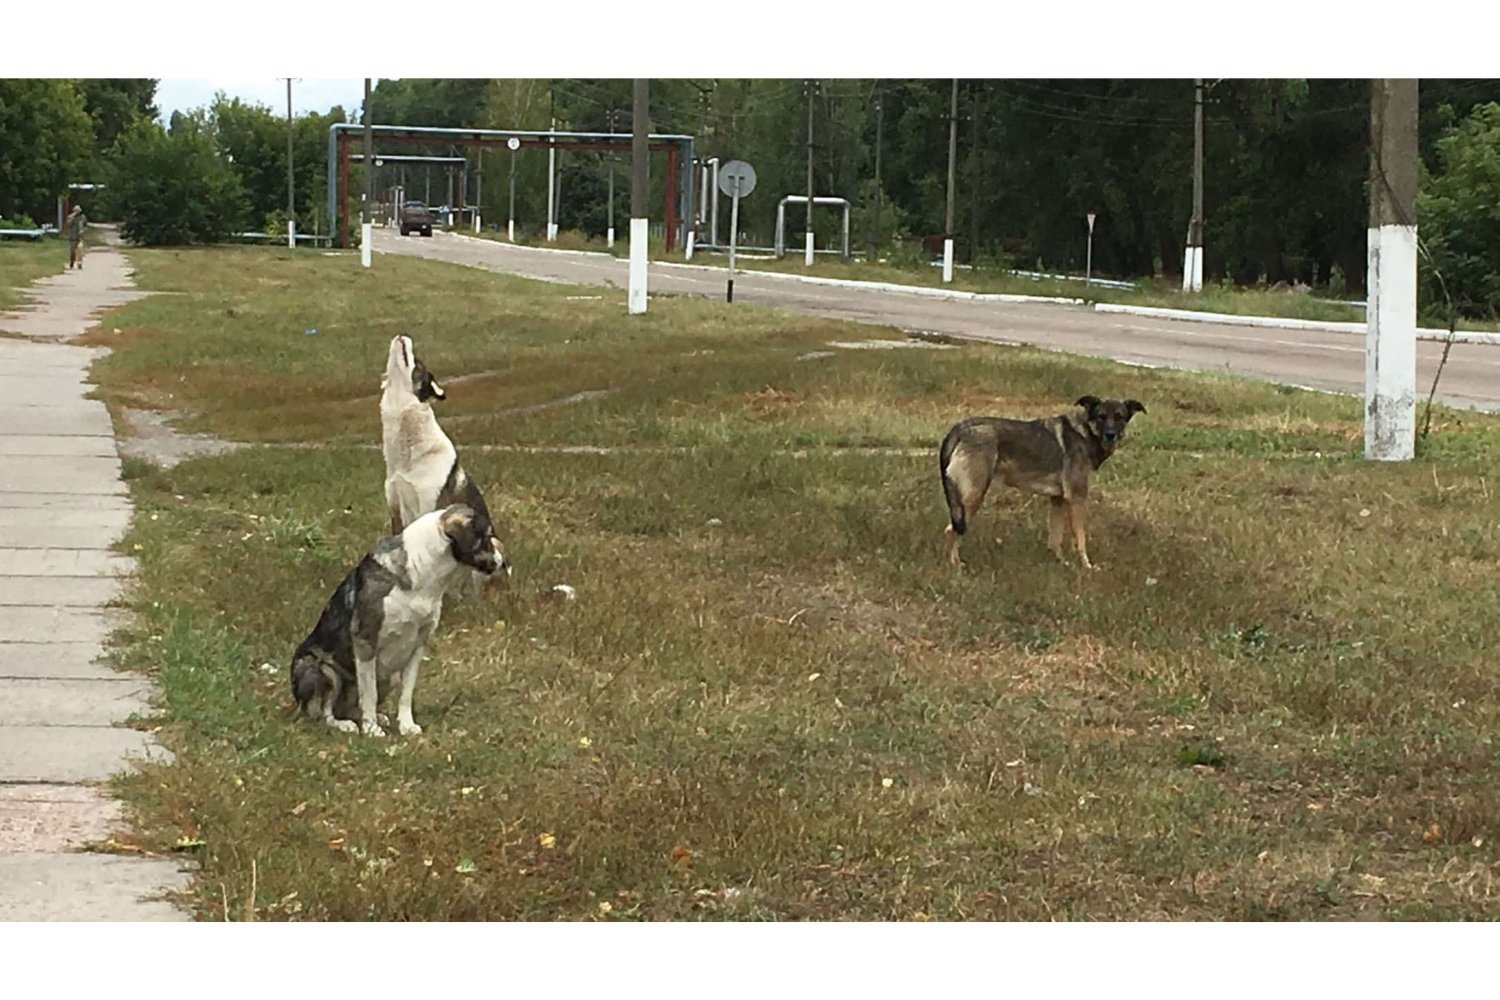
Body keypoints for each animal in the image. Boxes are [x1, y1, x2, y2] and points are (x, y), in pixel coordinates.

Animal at [289, 509, 507, 734]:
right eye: (487, 537)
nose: (503, 562)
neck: (424, 575)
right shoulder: (365, 641)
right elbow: (369, 694)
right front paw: (371, 730)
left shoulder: (418, 645)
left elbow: (406, 692)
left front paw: (406, 725)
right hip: (323, 670)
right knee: (322, 712)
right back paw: (345, 724)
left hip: (388, 676)